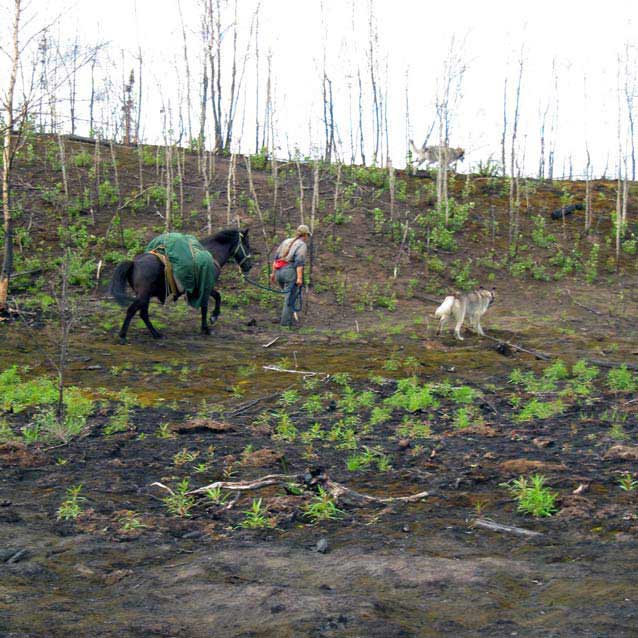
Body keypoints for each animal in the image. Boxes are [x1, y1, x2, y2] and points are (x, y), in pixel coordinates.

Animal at [110, 228, 252, 342]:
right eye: (247, 245)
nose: (249, 266)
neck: (211, 254)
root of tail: (134, 263)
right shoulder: (206, 286)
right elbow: (210, 302)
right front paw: (209, 323)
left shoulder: (204, 287)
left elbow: (215, 298)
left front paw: (210, 320)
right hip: (143, 296)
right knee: (132, 311)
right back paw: (123, 336)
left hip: (145, 296)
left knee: (143, 314)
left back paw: (156, 334)